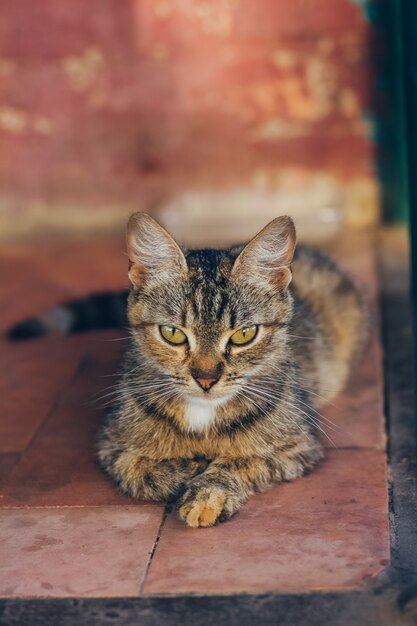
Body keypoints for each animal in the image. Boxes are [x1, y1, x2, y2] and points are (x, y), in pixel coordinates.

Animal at [96, 212, 368, 524]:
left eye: (244, 334)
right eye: (172, 333)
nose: (206, 378)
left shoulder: (298, 447)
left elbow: (238, 462)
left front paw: (207, 494)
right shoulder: (110, 444)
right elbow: (134, 468)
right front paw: (182, 472)